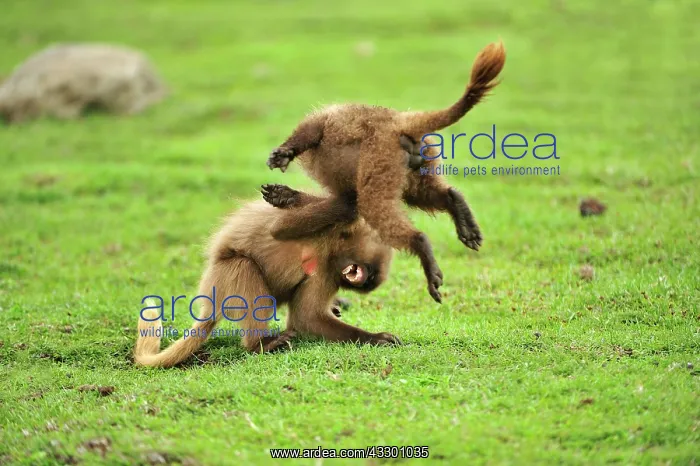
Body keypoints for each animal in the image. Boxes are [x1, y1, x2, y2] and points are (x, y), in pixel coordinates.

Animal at [134, 190, 396, 368]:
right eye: (367, 275)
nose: (360, 281)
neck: (333, 245)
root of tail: (209, 300)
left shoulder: (328, 272)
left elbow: (305, 317)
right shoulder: (328, 249)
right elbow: (279, 228)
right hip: (223, 279)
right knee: (244, 266)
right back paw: (259, 344)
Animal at [266, 41, 506, 304]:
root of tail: (397, 122)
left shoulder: (329, 121)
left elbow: (311, 133)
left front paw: (285, 156)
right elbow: (346, 204)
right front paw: (285, 196)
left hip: (380, 155)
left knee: (374, 203)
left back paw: (421, 244)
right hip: (417, 158)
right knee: (423, 192)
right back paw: (457, 208)